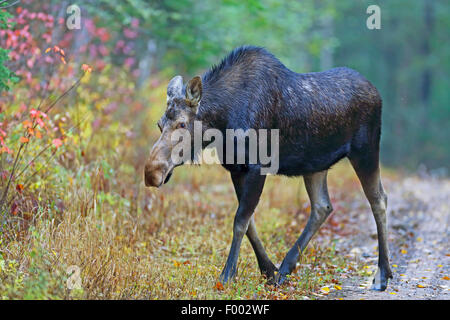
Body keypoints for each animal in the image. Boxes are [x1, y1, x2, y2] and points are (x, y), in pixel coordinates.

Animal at [144, 46, 390, 292]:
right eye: (159, 124)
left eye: (182, 124)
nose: (151, 174)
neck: (222, 123)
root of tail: (377, 94)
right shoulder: (236, 169)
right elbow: (249, 222)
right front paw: (268, 271)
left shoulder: (256, 167)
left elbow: (240, 221)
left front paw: (227, 274)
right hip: (316, 164)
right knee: (323, 206)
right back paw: (285, 268)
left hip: (365, 150)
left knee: (378, 200)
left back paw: (382, 275)